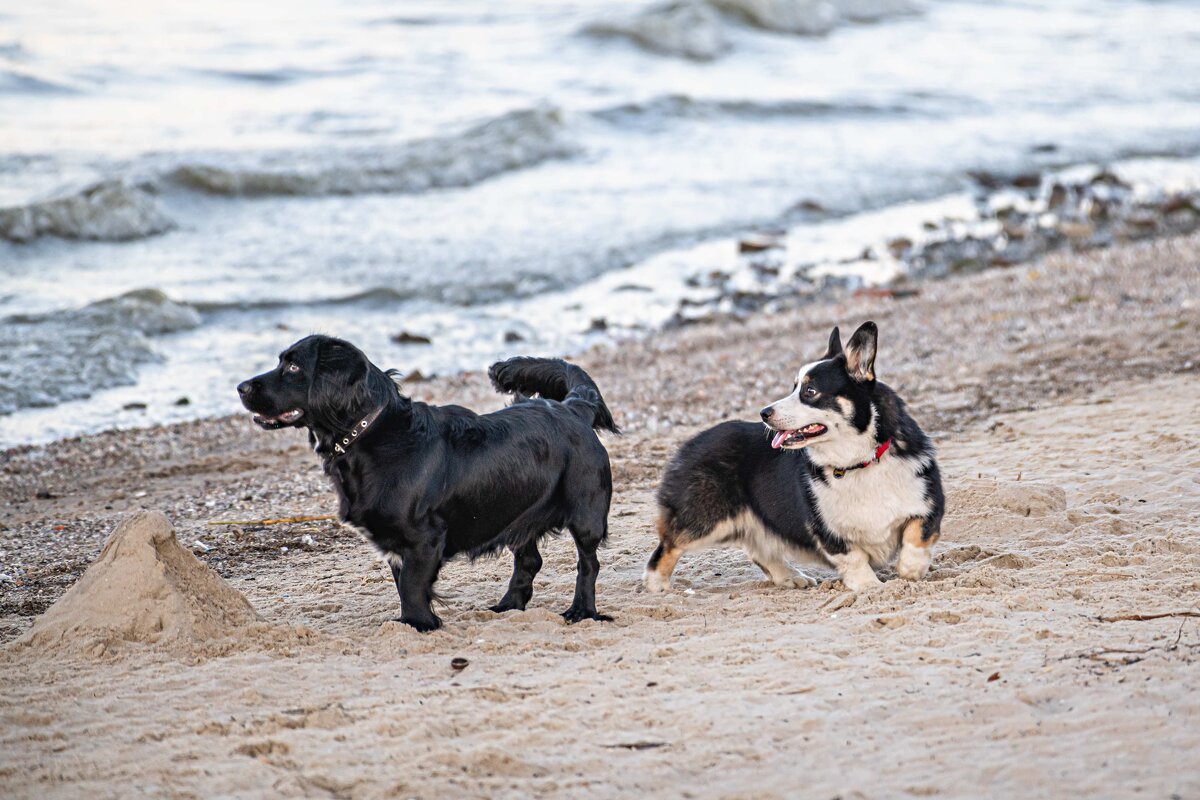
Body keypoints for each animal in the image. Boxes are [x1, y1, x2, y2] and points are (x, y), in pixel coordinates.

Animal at [240, 335, 624, 628]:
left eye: (292, 367)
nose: (241, 386)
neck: (372, 435)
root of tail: (573, 408)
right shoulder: (397, 543)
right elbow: (404, 585)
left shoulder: (423, 538)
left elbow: (411, 587)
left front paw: (418, 625)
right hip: (516, 511)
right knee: (529, 561)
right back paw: (508, 607)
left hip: (585, 514)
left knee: (588, 563)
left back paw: (582, 611)